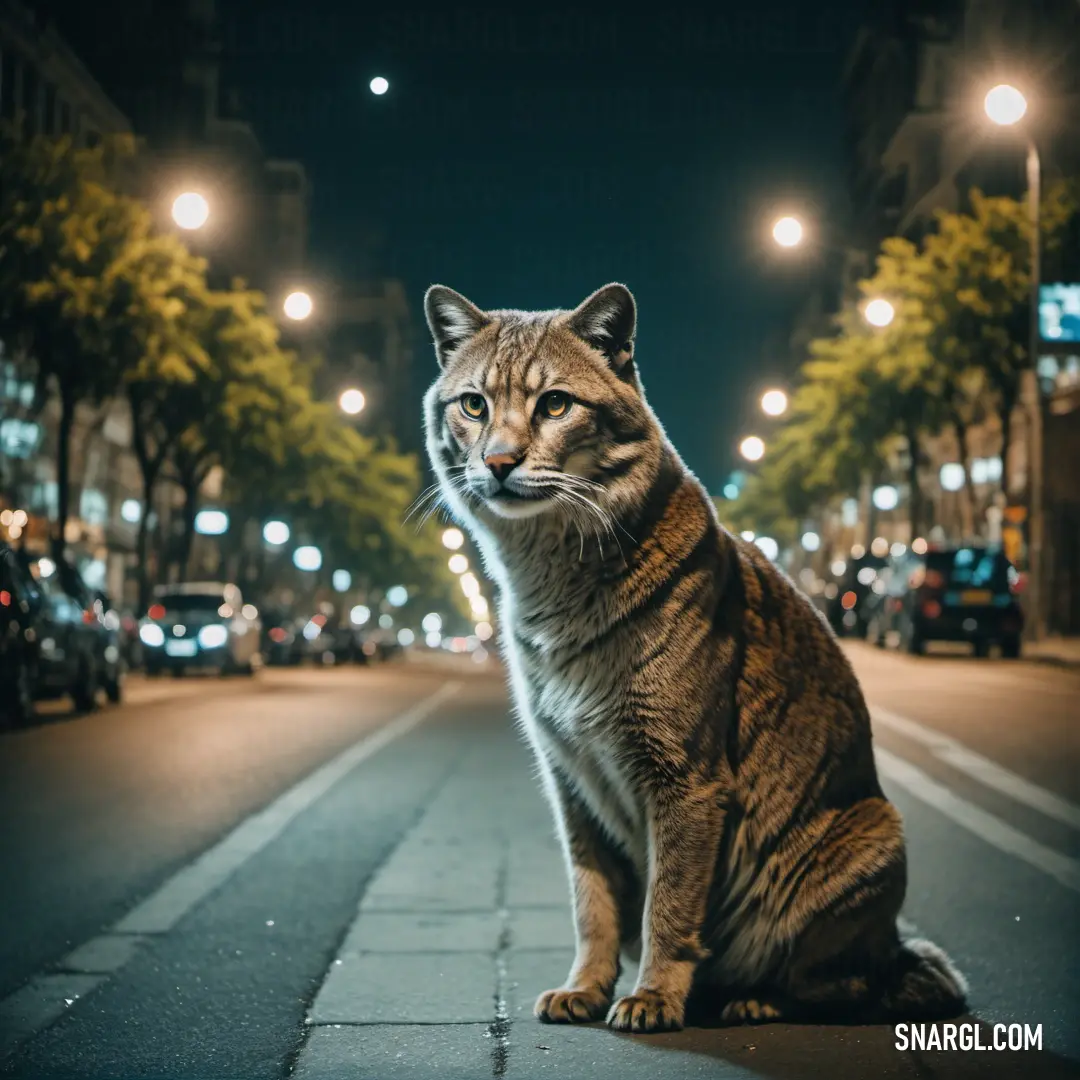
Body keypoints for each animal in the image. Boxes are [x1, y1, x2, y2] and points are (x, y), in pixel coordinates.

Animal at [416, 282, 967, 1032]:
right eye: (473, 405)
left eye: (554, 404)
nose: (498, 463)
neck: (555, 571)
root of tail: (893, 949)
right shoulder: (571, 784)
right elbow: (593, 903)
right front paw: (587, 984)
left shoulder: (687, 780)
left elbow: (669, 905)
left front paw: (653, 995)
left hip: (870, 838)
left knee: (836, 983)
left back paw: (753, 998)